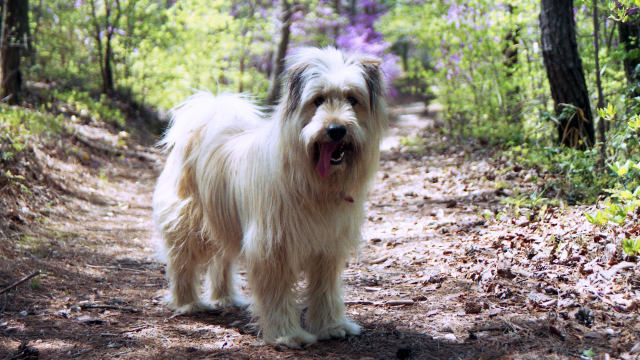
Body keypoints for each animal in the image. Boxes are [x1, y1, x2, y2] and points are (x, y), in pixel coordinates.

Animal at [152, 46, 388, 348]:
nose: (336, 130)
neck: (311, 181)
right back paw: (188, 303)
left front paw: (331, 326)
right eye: (318, 100)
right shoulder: (273, 247)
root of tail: (206, 123)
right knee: (182, 262)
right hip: (188, 223)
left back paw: (225, 297)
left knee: (221, 260)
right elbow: (277, 295)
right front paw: (288, 334)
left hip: (225, 222)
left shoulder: (327, 248)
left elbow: (325, 290)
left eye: (352, 99)